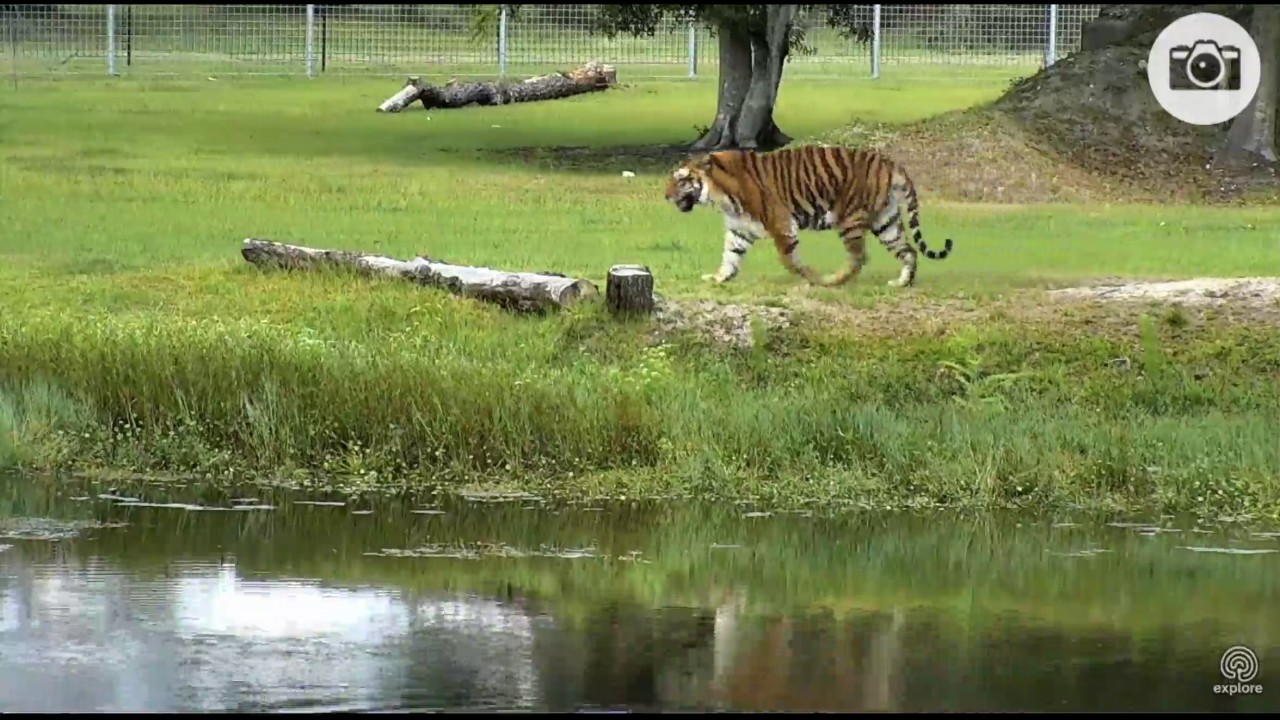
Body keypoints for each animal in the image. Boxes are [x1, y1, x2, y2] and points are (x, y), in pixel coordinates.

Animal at [663, 144, 955, 289]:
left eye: (681, 180)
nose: (665, 196)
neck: (720, 195)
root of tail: (891, 162)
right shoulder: (739, 229)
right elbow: (730, 257)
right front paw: (718, 278)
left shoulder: (781, 223)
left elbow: (789, 260)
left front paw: (811, 276)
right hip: (887, 221)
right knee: (908, 250)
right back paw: (902, 282)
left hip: (849, 217)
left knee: (859, 257)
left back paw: (831, 281)